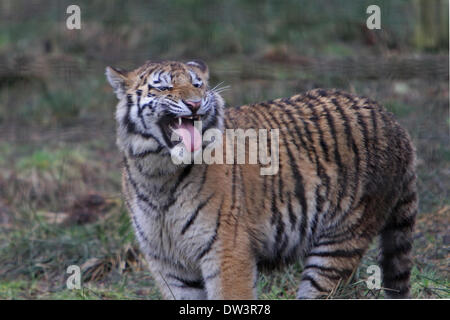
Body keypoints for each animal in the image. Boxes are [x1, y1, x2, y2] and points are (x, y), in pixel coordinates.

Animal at [106, 58, 418, 298]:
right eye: (164, 86)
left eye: (197, 84)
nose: (195, 103)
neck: (158, 175)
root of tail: (393, 120)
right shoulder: (168, 265)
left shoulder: (227, 253)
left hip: (339, 243)